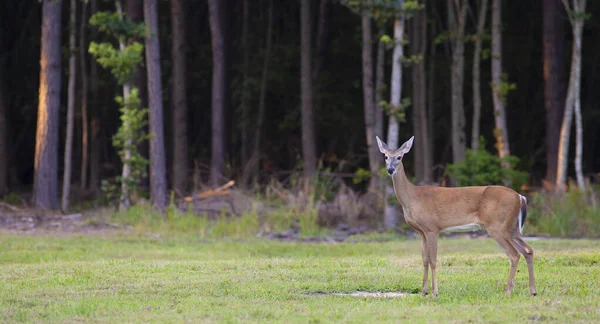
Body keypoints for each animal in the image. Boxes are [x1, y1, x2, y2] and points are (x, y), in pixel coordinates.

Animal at [378, 135, 536, 298]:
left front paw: (435, 292)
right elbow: (424, 260)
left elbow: (433, 260)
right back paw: (532, 291)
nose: (390, 169)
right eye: (385, 156)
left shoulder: (432, 228)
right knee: (528, 250)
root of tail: (520, 197)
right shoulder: (421, 231)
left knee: (514, 255)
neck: (412, 198)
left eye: (399, 156)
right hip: (511, 228)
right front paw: (424, 292)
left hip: (497, 227)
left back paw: (508, 291)